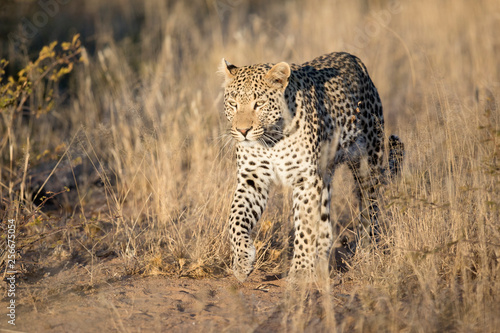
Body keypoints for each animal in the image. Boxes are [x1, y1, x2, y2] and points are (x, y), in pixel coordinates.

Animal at [221, 51, 404, 280]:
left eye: (260, 103)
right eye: (232, 104)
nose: (242, 131)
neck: (272, 140)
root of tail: (355, 60)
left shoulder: (306, 180)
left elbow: (305, 226)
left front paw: (300, 271)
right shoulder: (252, 178)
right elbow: (235, 219)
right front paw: (242, 260)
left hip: (367, 164)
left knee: (369, 210)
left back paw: (367, 249)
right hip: (326, 175)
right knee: (325, 219)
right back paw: (321, 260)